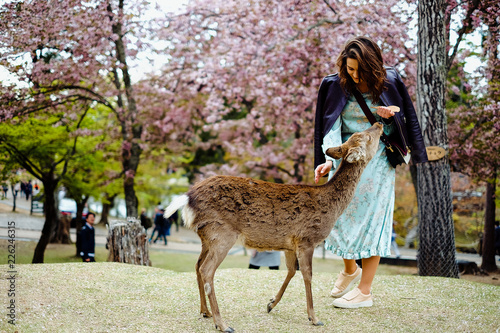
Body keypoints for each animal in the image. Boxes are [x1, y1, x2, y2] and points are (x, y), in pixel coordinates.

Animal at [164, 122, 382, 332]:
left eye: (359, 135)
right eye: (367, 137)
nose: (379, 123)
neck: (332, 207)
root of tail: (188, 198)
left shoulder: (289, 244)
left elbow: (291, 271)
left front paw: (271, 304)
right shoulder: (307, 238)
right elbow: (307, 275)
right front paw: (314, 318)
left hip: (206, 237)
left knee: (197, 265)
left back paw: (205, 312)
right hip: (222, 233)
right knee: (207, 270)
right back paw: (223, 324)